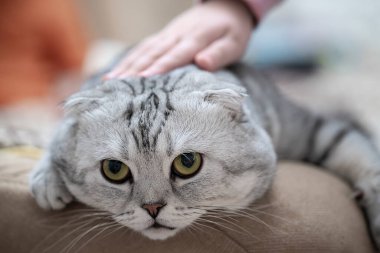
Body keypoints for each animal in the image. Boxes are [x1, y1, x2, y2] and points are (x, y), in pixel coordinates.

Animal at [30, 60, 380, 243]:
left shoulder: (315, 129)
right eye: (114, 170)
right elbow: (55, 137)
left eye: (187, 162)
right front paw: (46, 178)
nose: (152, 208)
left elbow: (361, 155)